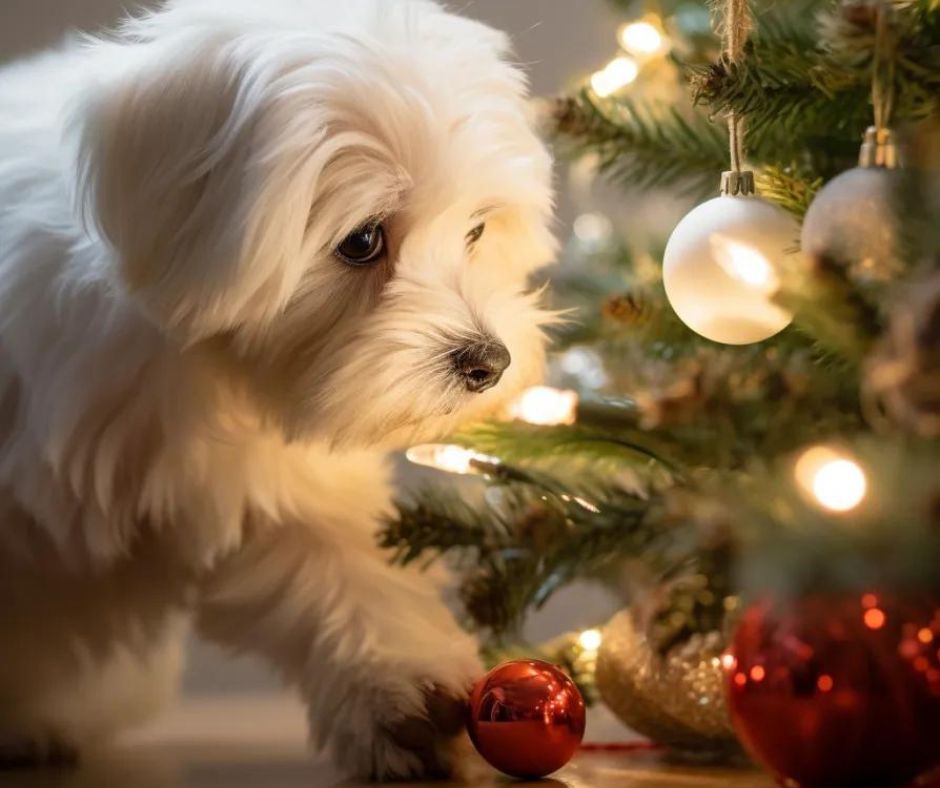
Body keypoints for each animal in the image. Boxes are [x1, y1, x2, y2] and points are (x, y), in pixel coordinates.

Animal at [0, 0, 556, 776]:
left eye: (476, 230)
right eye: (361, 241)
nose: (488, 362)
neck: (195, 362)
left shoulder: (259, 475)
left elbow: (329, 563)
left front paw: (404, 694)